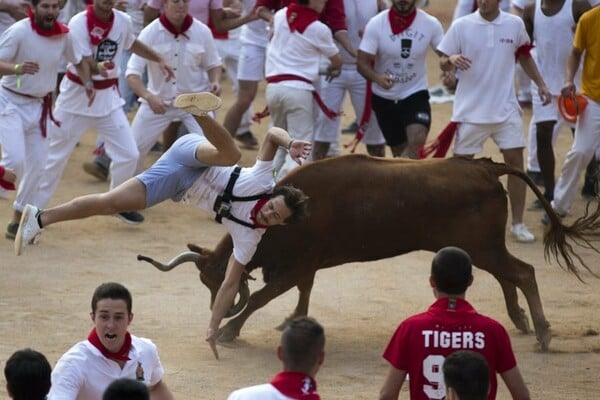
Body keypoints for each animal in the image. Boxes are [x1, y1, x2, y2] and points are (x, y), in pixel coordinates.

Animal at [138, 155, 600, 352]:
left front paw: (230, 330)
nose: (217, 305)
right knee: (509, 275)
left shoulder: (292, 267)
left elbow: (263, 298)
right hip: (481, 247)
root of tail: (485, 166)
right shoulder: (306, 265)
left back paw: (542, 333)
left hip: (482, 246)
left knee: (522, 273)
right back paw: (521, 322)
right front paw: (293, 321)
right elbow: (304, 292)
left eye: (215, 278)